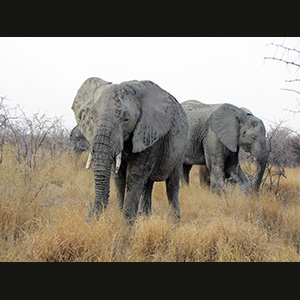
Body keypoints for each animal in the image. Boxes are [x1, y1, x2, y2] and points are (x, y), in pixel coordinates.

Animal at [71, 77, 188, 223]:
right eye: (91, 118)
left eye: (126, 119)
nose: (88, 221)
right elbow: (118, 176)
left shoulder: (149, 133)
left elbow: (134, 176)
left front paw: (125, 227)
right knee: (148, 185)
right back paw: (145, 218)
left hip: (180, 151)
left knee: (172, 185)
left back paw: (174, 223)